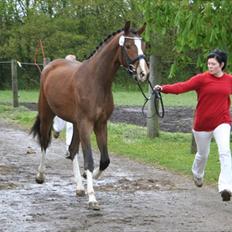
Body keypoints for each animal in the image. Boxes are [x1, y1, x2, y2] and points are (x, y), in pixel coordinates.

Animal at [30, 21, 149, 210]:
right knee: (44, 142)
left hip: (75, 123)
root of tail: (49, 66)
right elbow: (89, 160)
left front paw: (88, 180)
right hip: (47, 114)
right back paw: (40, 175)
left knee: (72, 150)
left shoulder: (101, 124)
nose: (143, 73)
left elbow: (104, 160)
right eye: (128, 45)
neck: (96, 81)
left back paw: (79, 188)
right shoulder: (86, 123)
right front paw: (92, 198)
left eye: (143, 45)